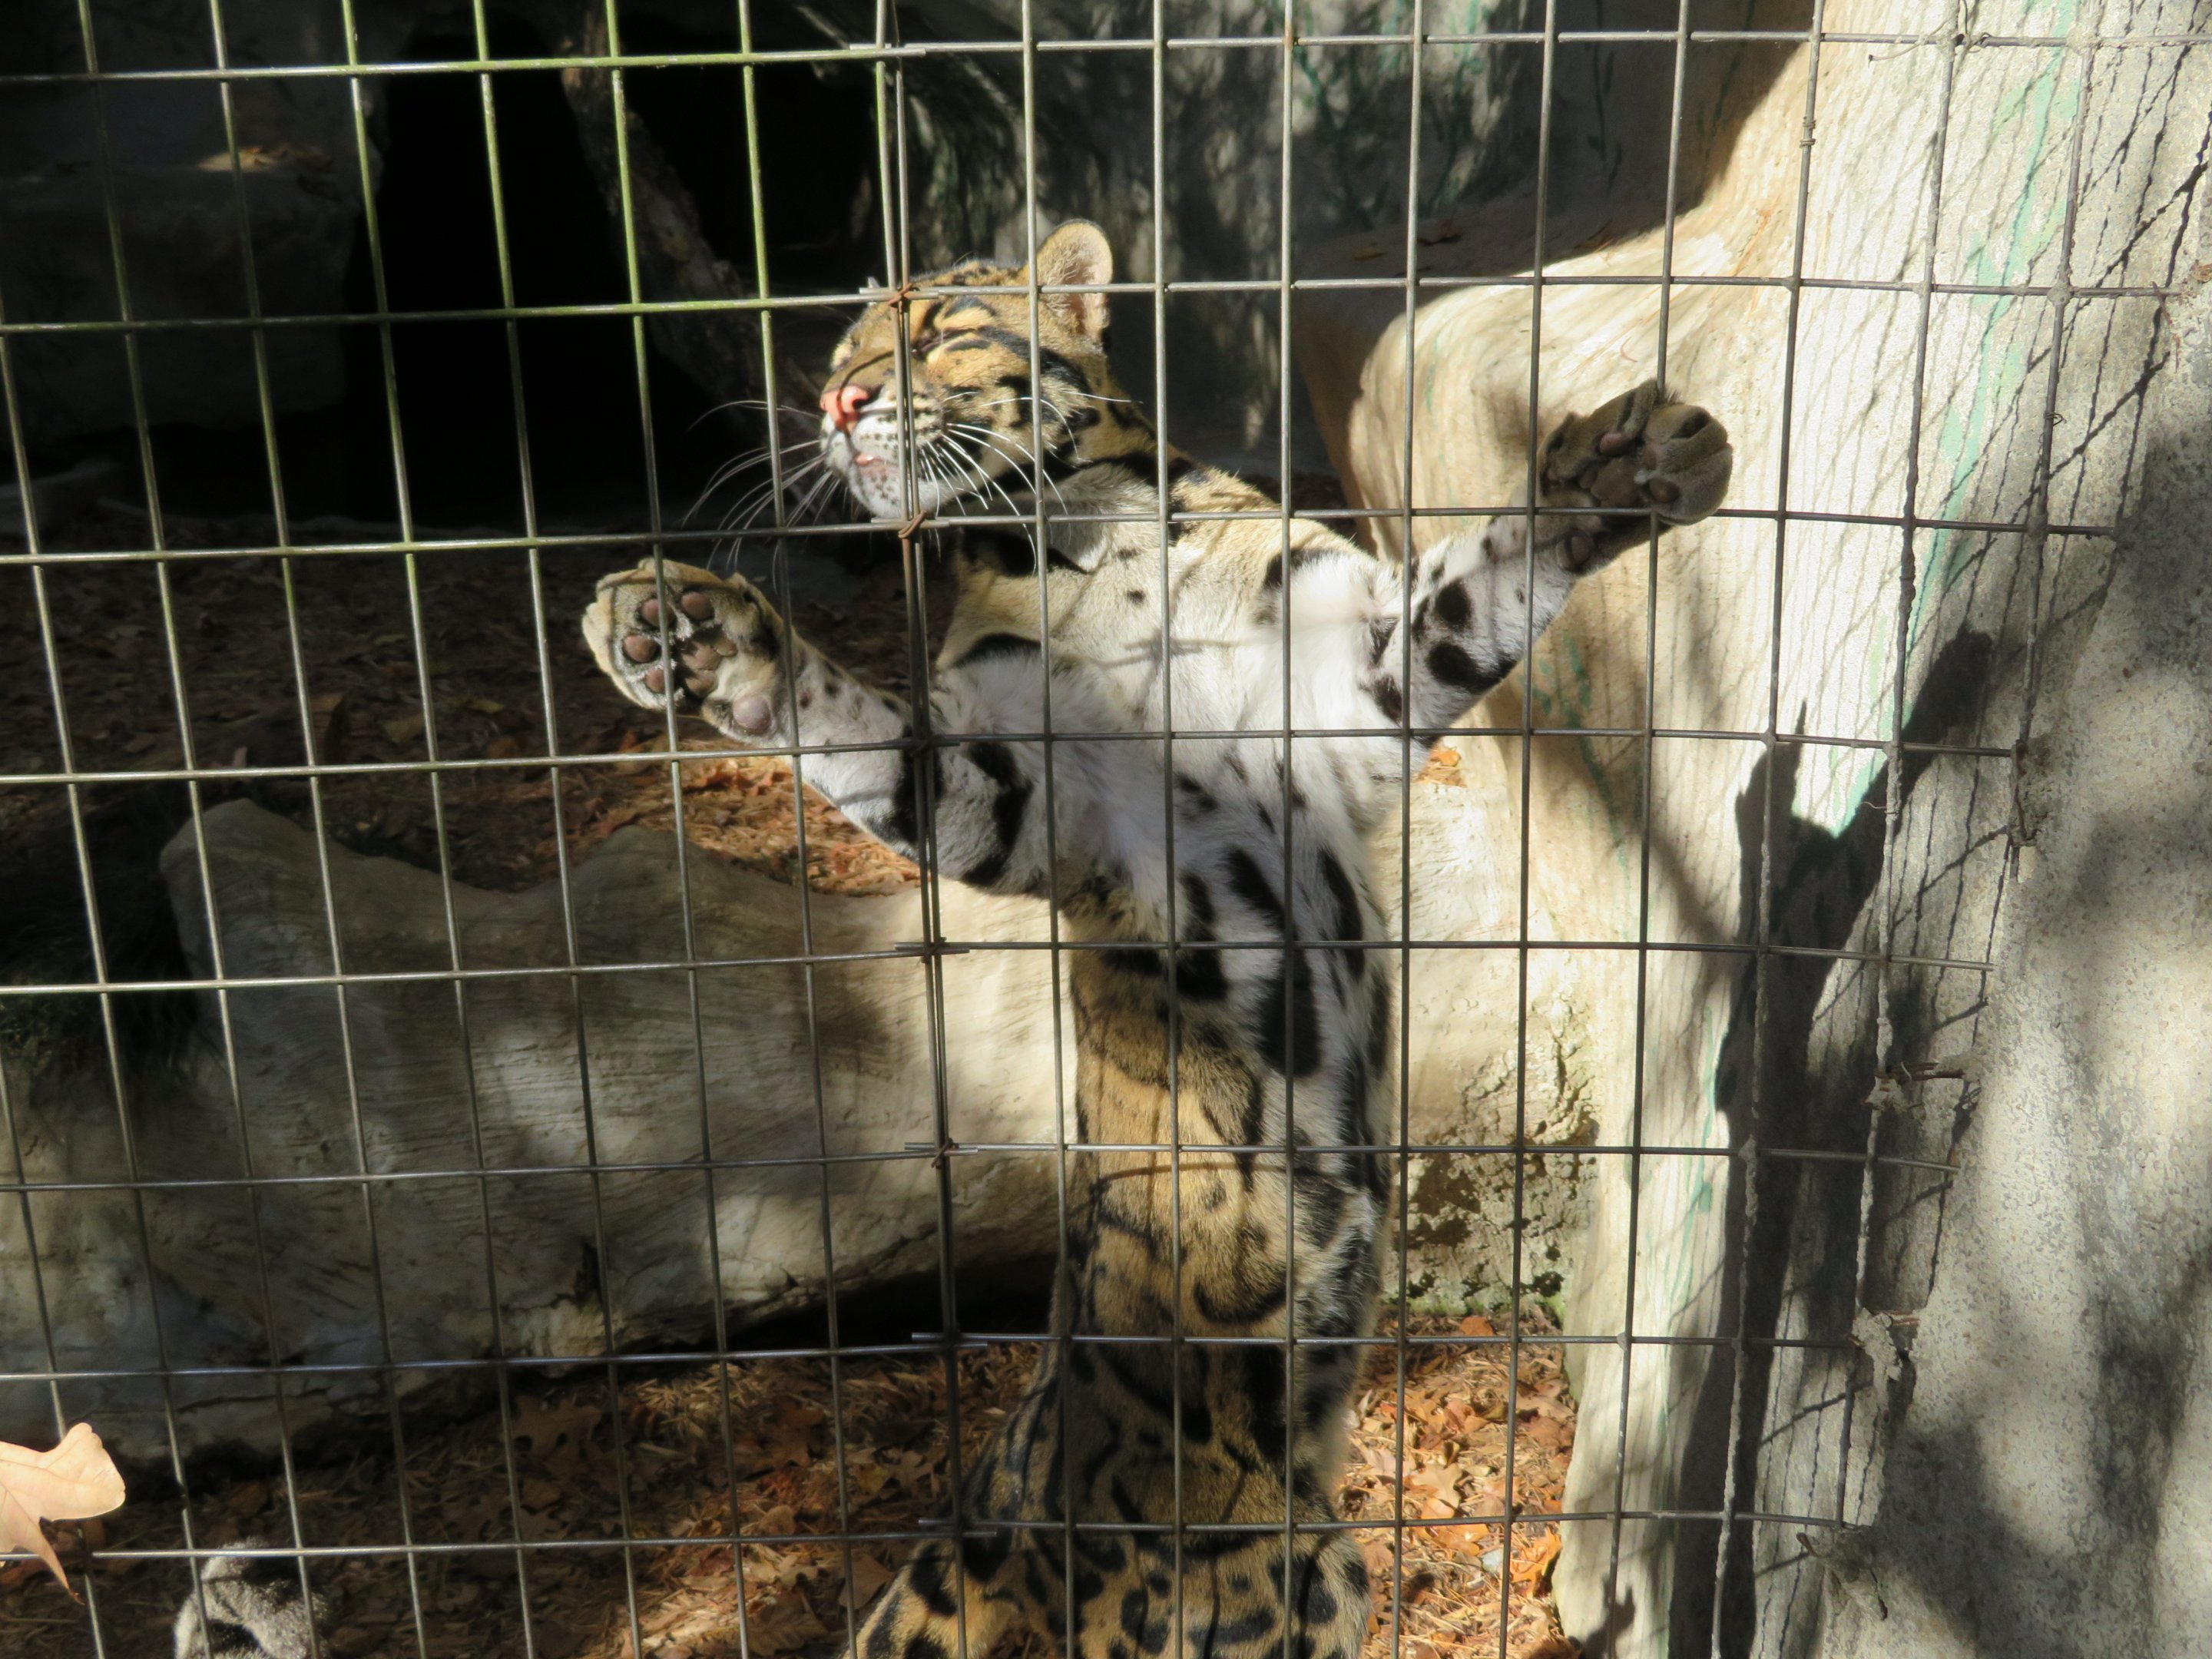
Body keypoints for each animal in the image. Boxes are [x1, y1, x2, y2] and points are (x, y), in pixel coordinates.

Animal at [177, 220, 1729, 1659]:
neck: (1082, 528)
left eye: (933, 332)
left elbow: (1477, 585)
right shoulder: (1031, 801)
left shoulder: (1359, 678)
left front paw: (1623, 474)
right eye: (847, 347)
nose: (838, 402)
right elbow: (862, 736)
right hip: (1262, 1582)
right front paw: (693, 637)